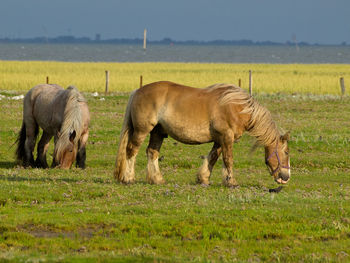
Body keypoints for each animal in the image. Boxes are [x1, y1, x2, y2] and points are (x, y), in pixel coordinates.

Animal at [114, 81, 290, 187]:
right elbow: (228, 160)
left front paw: (203, 178)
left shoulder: (220, 140)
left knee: (152, 152)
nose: (286, 177)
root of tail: (137, 91)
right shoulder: (227, 138)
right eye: (287, 152)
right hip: (142, 131)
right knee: (131, 151)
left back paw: (157, 179)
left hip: (158, 132)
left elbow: (213, 157)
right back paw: (128, 178)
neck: (238, 108)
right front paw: (231, 182)